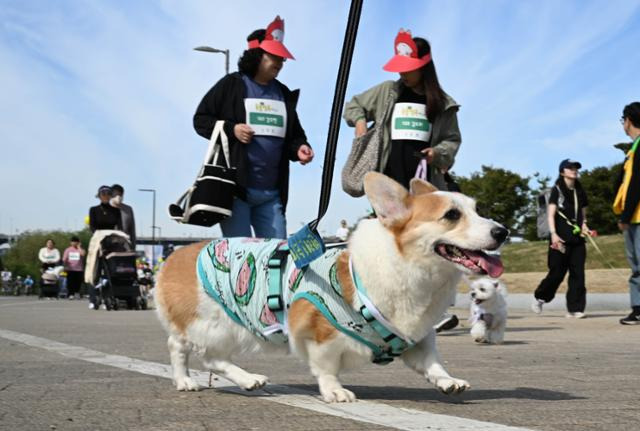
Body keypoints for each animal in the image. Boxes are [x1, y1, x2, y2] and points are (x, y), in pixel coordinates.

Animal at [154, 173, 504, 404]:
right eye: (452, 215)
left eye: (477, 210)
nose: (502, 231)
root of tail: (174, 256)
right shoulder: (318, 332)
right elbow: (326, 367)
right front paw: (334, 390)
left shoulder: (417, 338)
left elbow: (432, 362)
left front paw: (448, 381)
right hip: (215, 323)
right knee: (193, 352)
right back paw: (196, 380)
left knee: (203, 356)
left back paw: (238, 380)